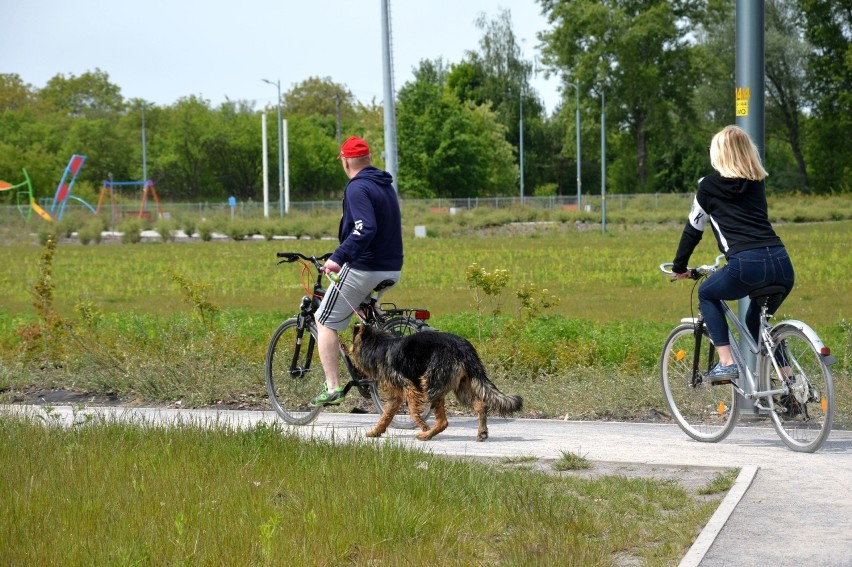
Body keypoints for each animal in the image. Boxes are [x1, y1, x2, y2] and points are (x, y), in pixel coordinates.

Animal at [350, 324, 524, 444]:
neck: (377, 345)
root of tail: (464, 347)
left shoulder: (410, 388)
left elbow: (413, 411)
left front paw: (422, 425)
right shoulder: (396, 397)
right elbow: (386, 416)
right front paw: (376, 432)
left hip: (430, 385)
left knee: (443, 422)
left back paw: (427, 434)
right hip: (462, 388)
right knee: (481, 405)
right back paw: (481, 432)